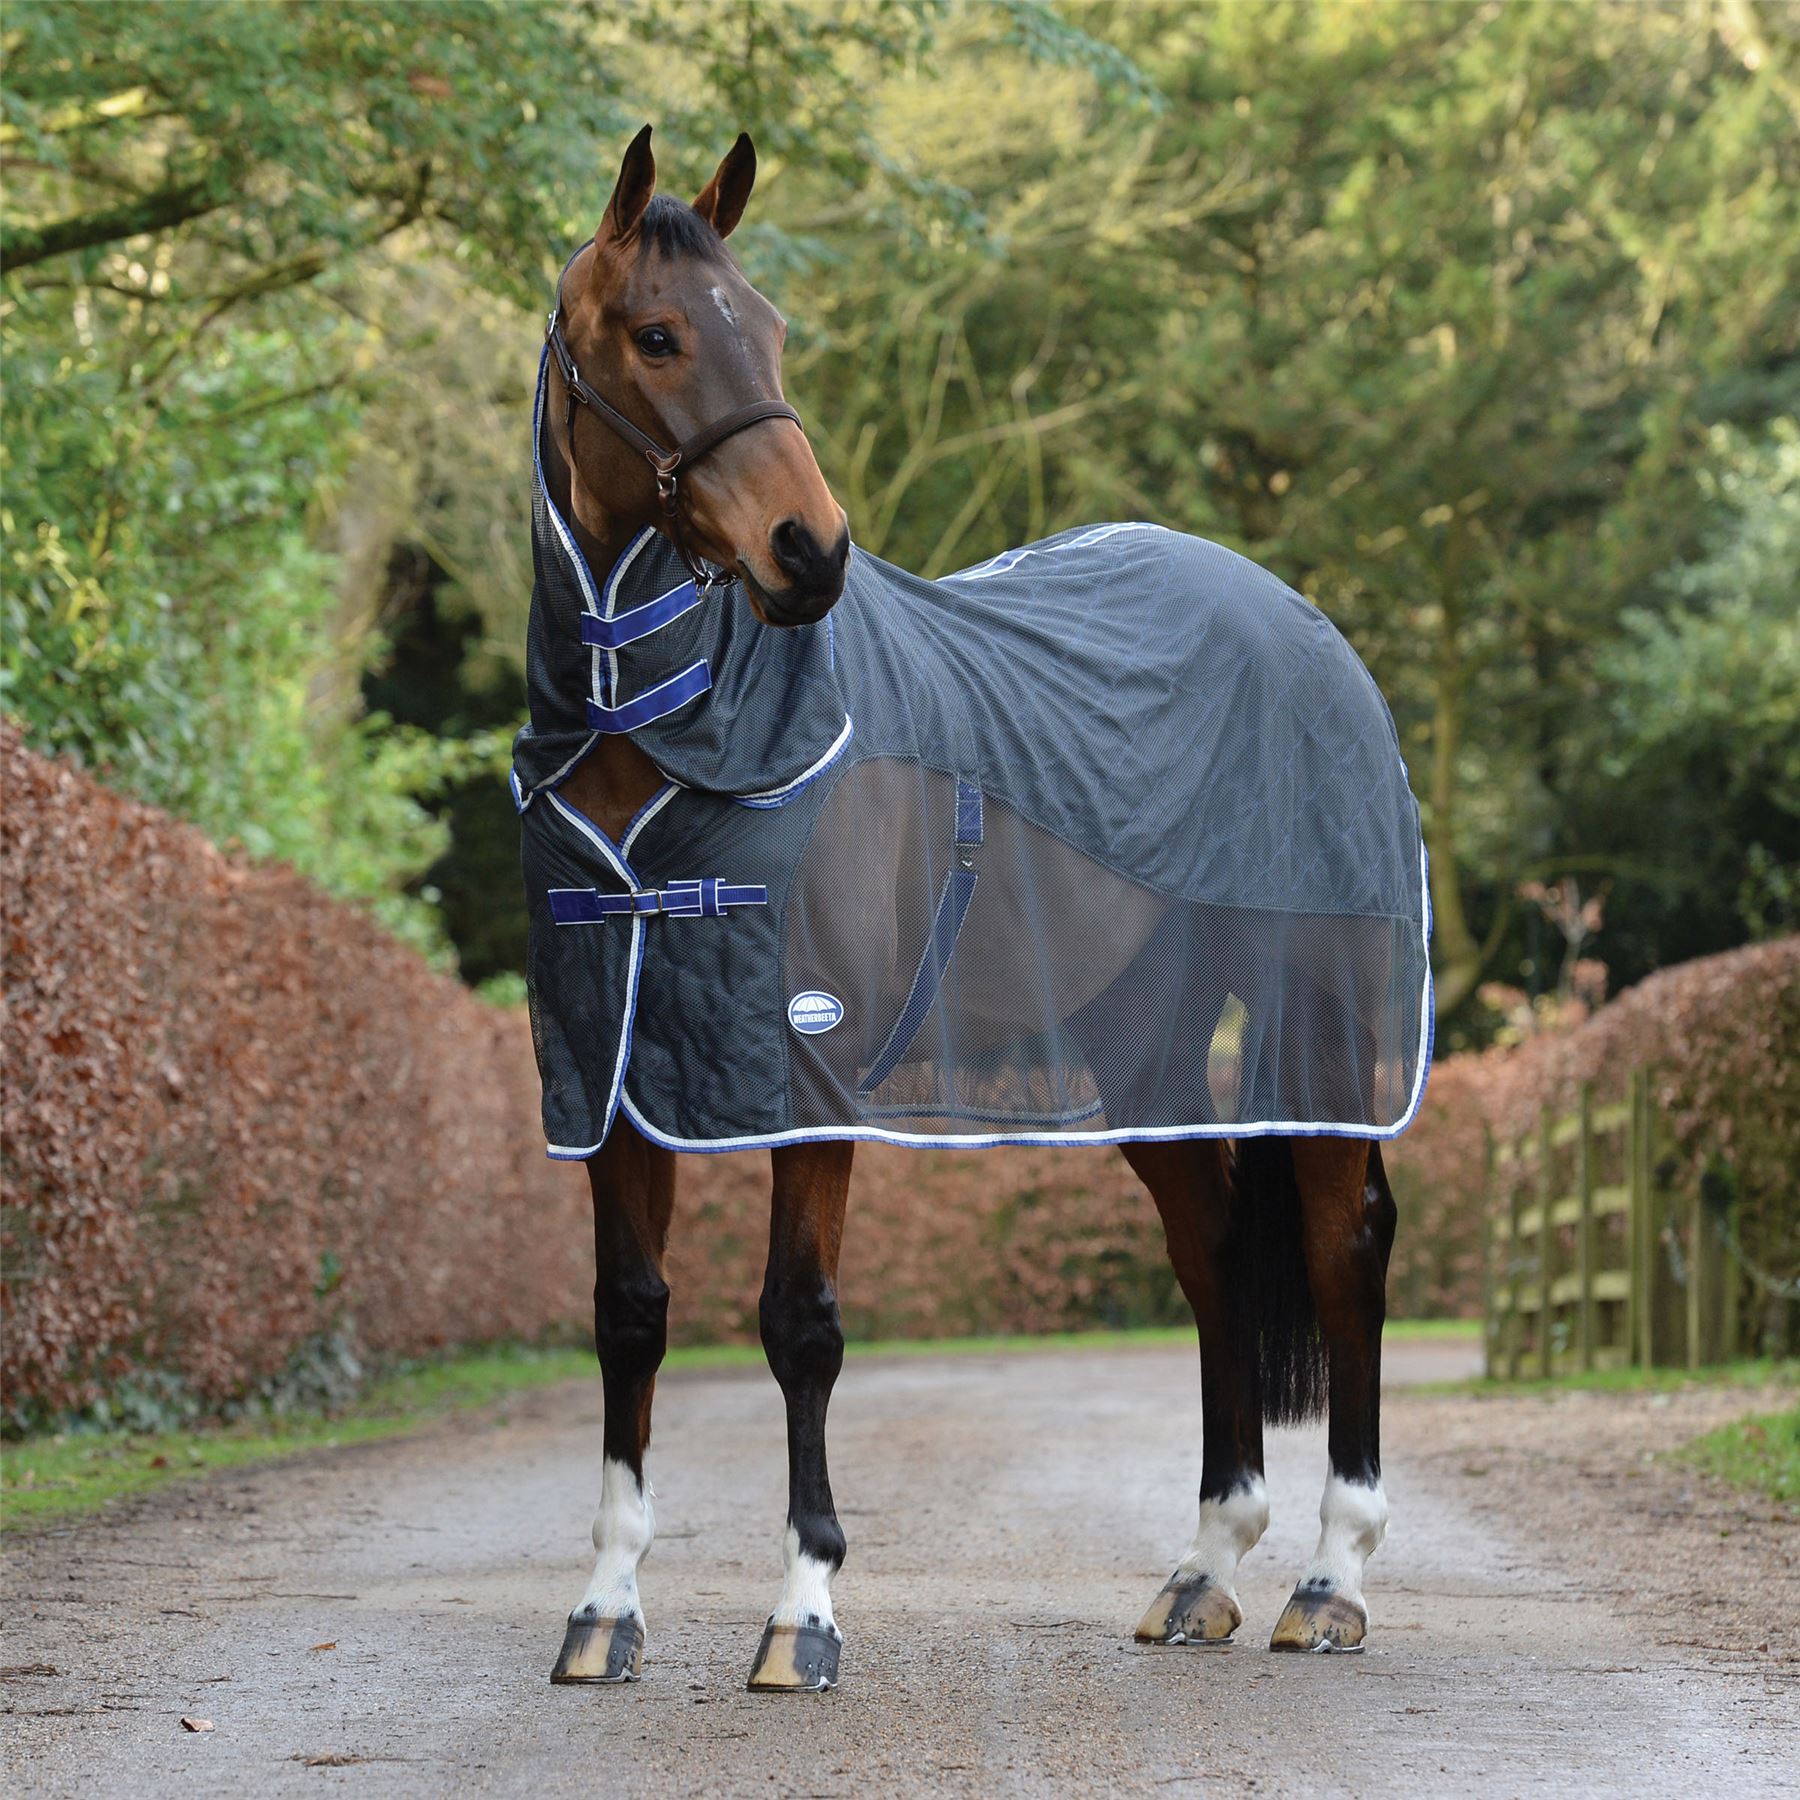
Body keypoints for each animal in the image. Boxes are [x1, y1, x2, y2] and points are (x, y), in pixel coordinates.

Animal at [522, 126, 1421, 1693]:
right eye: (658, 334)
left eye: (772, 328)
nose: (809, 552)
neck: (676, 743)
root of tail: (1299, 619)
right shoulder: (616, 1060)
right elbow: (629, 1319)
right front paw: (607, 1607)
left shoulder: (806, 1070)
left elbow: (800, 1326)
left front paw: (802, 1612)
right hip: (1140, 1041)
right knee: (1209, 1250)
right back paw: (1203, 1567)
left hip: (1319, 998)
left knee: (1337, 1240)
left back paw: (1330, 1577)